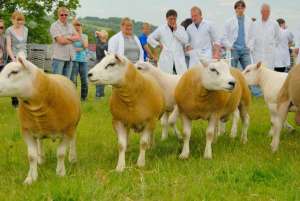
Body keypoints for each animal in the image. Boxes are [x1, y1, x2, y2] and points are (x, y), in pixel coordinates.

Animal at [0, 54, 81, 185]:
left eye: (14, 72)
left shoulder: (68, 130)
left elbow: (61, 153)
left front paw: (60, 173)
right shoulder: (27, 131)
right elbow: (31, 156)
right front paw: (30, 178)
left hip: (74, 125)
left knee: (73, 141)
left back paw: (73, 158)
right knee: (40, 141)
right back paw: (41, 159)